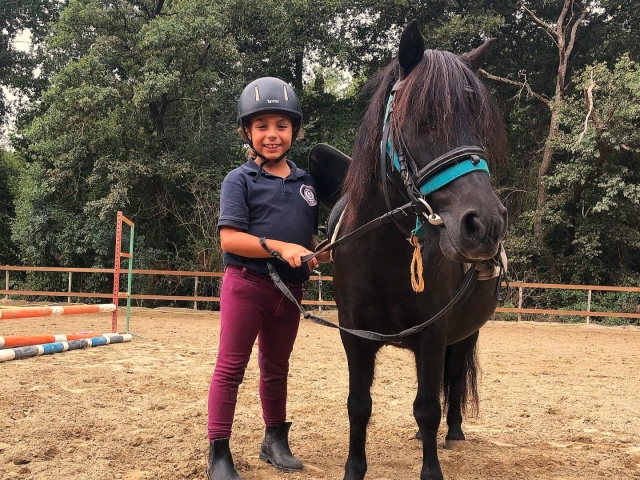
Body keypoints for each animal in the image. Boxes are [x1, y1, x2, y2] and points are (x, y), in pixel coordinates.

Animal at [332, 20, 509, 480]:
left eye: (479, 126)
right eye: (424, 119)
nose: (486, 224)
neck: (384, 255)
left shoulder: (433, 334)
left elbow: (428, 407)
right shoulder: (355, 337)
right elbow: (358, 407)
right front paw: (354, 468)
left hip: (463, 333)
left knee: (452, 380)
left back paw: (455, 432)